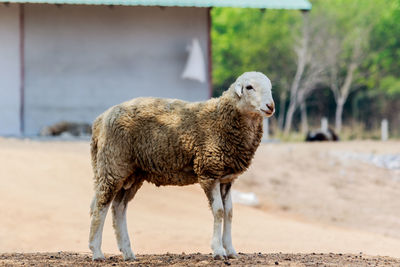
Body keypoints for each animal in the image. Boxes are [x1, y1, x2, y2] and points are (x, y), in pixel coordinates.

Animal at [87, 71, 276, 262]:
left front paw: (230, 250)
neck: (221, 119)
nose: (271, 106)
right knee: (100, 206)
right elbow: (219, 211)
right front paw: (218, 250)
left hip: (132, 173)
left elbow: (229, 212)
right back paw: (97, 252)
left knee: (118, 207)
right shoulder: (209, 172)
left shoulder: (226, 178)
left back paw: (127, 252)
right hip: (113, 164)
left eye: (270, 87)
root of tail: (100, 120)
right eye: (249, 87)